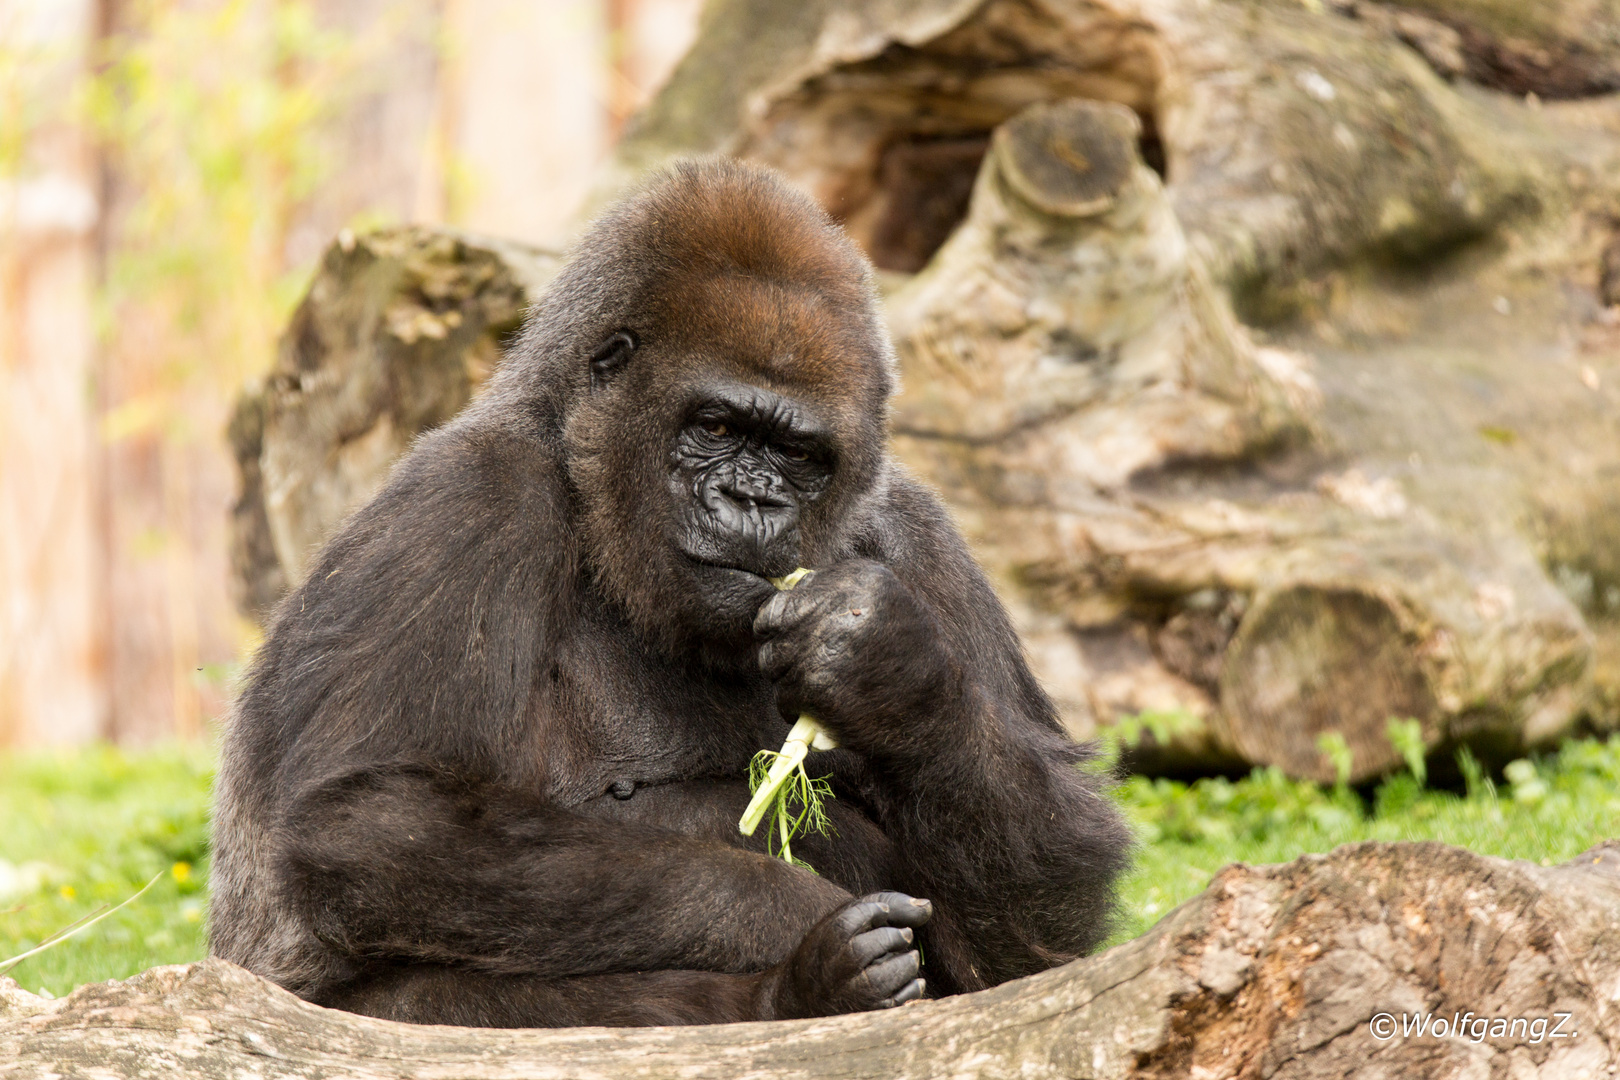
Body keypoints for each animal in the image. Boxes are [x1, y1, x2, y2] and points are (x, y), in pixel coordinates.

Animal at [208, 160, 1134, 1029]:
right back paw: (798, 992)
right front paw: (784, 909)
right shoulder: (465, 496)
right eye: (716, 427)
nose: (753, 501)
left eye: (798, 455)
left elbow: (1039, 922)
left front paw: (889, 668)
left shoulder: (917, 534)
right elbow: (374, 821)